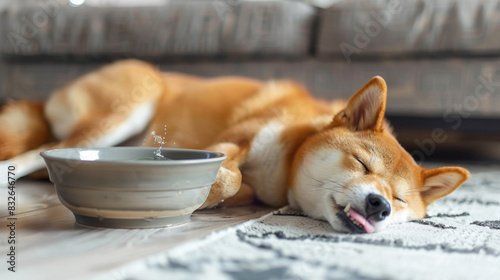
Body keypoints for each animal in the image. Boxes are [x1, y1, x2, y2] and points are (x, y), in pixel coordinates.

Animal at [0, 60, 468, 233]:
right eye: (362, 163)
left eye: (400, 199)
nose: (379, 205)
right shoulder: (232, 141)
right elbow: (230, 173)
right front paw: (192, 195)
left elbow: (234, 184)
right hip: (127, 106)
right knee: (30, 154)